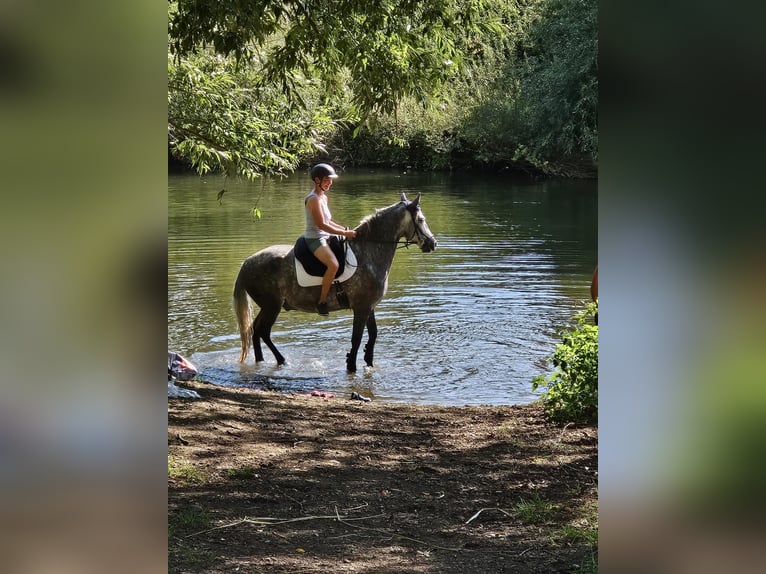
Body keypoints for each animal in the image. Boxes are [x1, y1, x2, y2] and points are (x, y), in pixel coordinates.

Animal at [233, 192, 437, 372]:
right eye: (421, 219)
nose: (433, 243)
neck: (368, 252)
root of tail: (246, 263)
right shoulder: (361, 308)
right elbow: (357, 338)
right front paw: (351, 366)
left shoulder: (369, 306)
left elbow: (373, 335)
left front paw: (368, 362)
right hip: (272, 306)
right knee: (263, 331)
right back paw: (281, 360)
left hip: (267, 306)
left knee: (254, 330)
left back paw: (261, 361)